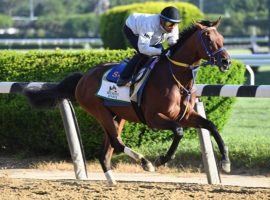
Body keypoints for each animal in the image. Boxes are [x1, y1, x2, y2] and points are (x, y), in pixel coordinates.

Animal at [25, 18, 231, 184]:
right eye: (208, 39)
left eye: (221, 37)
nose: (226, 61)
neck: (175, 77)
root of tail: (83, 77)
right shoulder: (154, 117)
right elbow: (179, 131)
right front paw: (161, 159)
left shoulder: (186, 115)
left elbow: (211, 125)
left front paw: (225, 162)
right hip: (99, 111)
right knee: (116, 144)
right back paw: (145, 163)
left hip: (118, 116)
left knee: (106, 150)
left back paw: (112, 180)